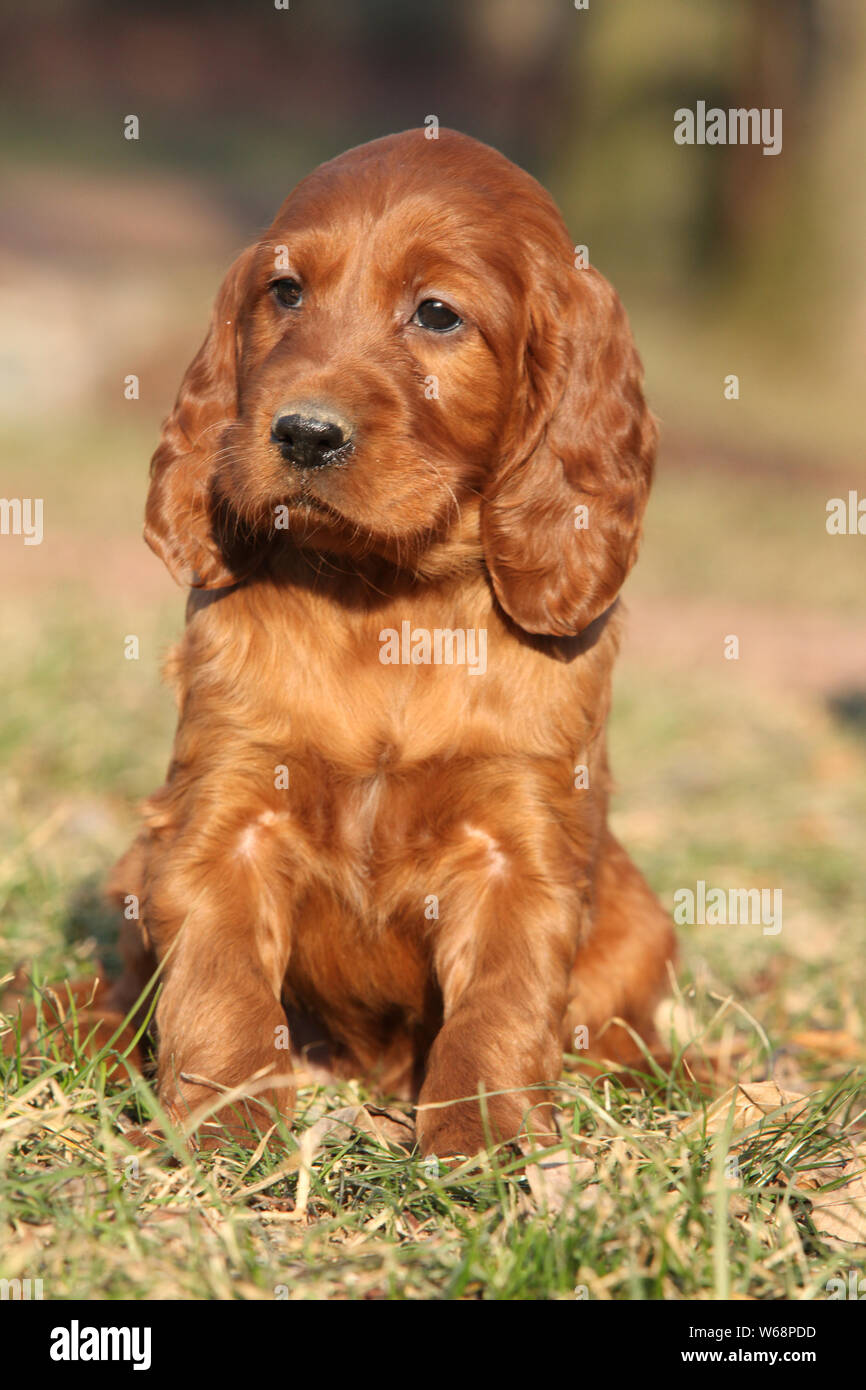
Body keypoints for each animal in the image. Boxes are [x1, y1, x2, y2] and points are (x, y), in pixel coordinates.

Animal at [5, 130, 678, 1156]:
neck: (384, 598)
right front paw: (231, 1130)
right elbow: (220, 989)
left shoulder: (519, 847)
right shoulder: (224, 815)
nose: (303, 433)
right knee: (121, 993)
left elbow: (502, 1007)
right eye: (285, 292)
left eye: (436, 314)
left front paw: (482, 1143)